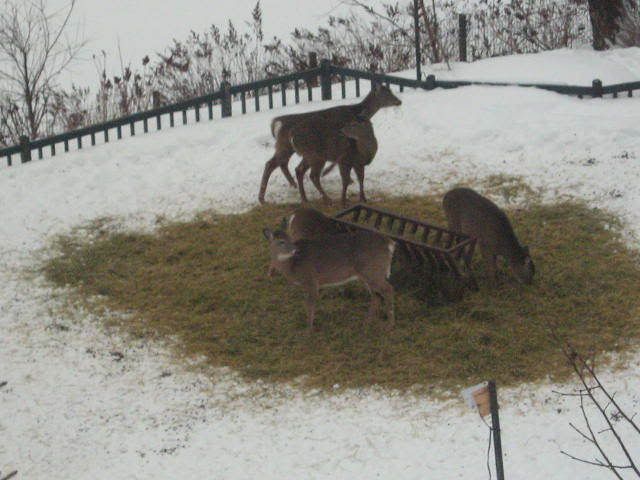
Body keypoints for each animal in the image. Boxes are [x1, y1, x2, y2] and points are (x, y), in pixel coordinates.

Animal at [256, 84, 400, 204]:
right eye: (386, 93)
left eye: (390, 90)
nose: (399, 101)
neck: (356, 112)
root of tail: (277, 123)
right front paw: (346, 179)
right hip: (289, 147)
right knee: (273, 164)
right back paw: (264, 197)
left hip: (287, 148)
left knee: (281, 163)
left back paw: (291, 186)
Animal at [262, 217, 396, 326]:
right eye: (281, 242)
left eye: (290, 238)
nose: (295, 249)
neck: (292, 265)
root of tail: (389, 243)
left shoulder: (311, 280)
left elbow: (310, 305)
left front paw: (309, 330)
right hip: (368, 274)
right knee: (376, 295)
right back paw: (367, 321)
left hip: (372, 271)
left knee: (388, 289)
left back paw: (389, 324)